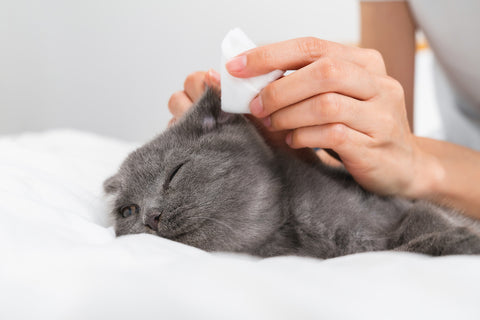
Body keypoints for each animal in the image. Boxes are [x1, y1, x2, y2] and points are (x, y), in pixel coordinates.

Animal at [104, 89, 480, 258]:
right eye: (128, 211)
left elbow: (423, 219)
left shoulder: (399, 206)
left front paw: (464, 238)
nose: (151, 217)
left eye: (175, 173)